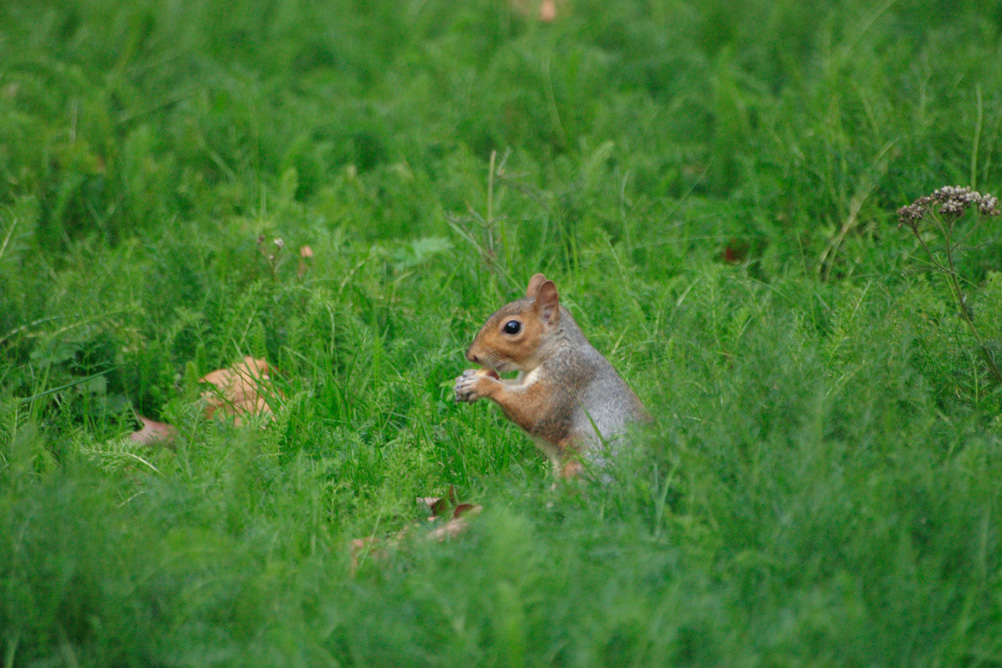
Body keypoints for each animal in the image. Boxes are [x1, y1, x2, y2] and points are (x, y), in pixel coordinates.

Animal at [454, 273, 648, 478]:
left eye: (512, 327)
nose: (471, 355)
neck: (556, 349)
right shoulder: (524, 379)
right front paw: (467, 377)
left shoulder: (566, 376)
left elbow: (534, 410)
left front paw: (480, 384)